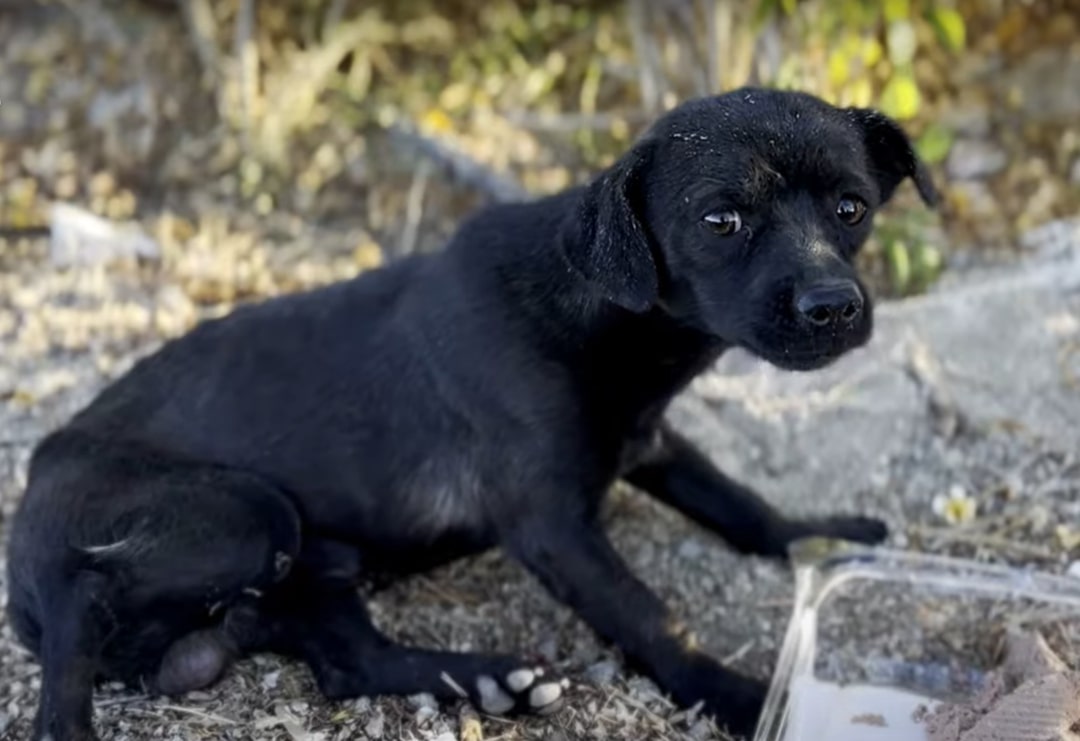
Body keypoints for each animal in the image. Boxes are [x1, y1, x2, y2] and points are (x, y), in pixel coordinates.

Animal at [6, 88, 937, 741]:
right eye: (721, 219)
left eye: (852, 207)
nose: (834, 307)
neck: (596, 314)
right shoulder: (552, 526)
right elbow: (653, 617)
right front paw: (744, 697)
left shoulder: (648, 441)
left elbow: (740, 503)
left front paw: (823, 532)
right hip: (245, 514)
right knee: (88, 589)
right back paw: (68, 713)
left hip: (310, 571)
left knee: (349, 662)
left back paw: (491, 682)